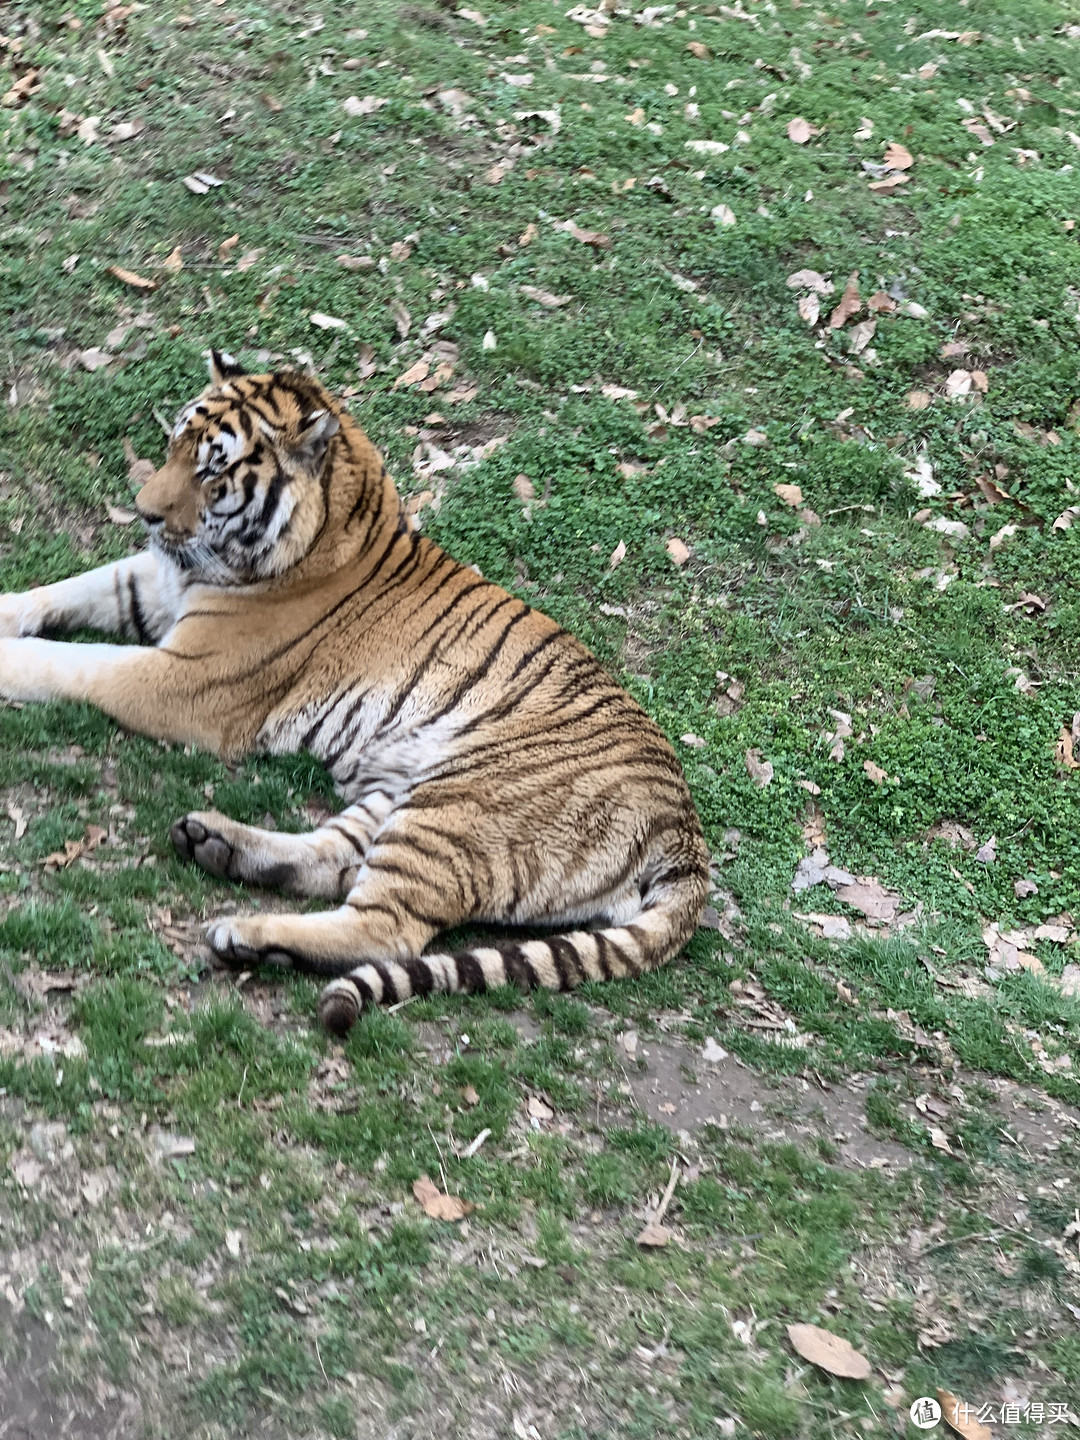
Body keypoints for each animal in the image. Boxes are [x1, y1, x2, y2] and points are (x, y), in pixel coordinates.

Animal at [0, 355, 711, 1042]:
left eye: (214, 470)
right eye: (175, 446)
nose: (144, 512)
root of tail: (683, 825)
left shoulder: (185, 677)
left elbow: (75, 664)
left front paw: (11, 659)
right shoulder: (152, 584)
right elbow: (68, 588)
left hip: (458, 806)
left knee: (384, 930)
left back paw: (246, 934)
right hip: (400, 791)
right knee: (334, 858)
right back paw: (215, 843)